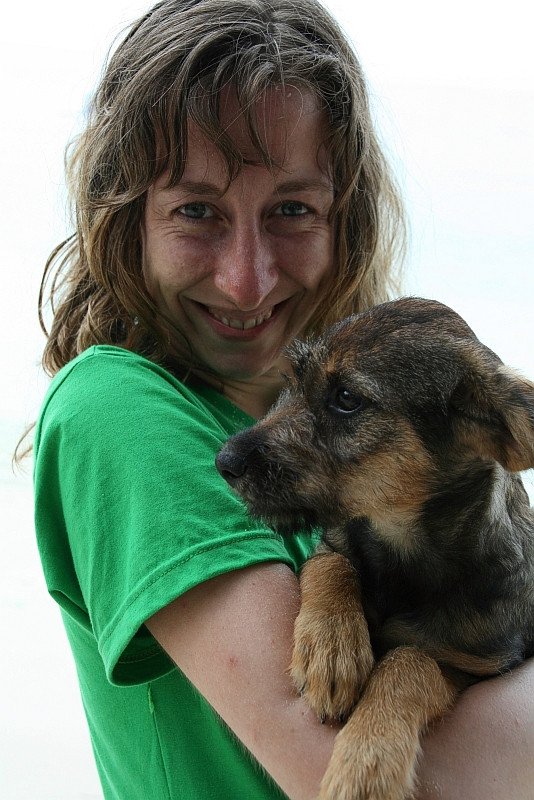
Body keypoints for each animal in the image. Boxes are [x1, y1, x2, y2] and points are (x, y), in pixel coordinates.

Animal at [215, 296, 534, 796]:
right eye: (294, 381)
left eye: (347, 399)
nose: (223, 461)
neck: (399, 546)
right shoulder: (335, 542)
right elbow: (333, 565)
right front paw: (331, 648)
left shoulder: (477, 666)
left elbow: (412, 659)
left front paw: (367, 762)